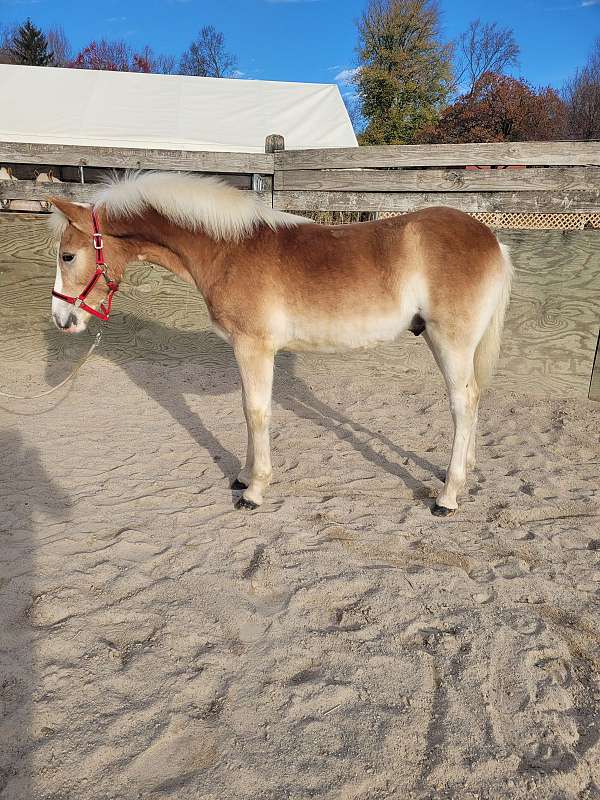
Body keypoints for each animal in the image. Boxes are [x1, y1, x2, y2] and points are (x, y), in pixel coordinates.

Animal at [49, 172, 512, 516]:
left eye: (68, 255)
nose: (62, 320)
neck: (228, 250)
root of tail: (492, 240)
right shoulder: (244, 351)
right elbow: (246, 409)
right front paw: (242, 475)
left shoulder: (254, 348)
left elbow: (257, 413)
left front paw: (254, 491)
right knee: (473, 401)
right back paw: (463, 472)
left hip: (449, 343)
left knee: (463, 403)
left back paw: (448, 496)